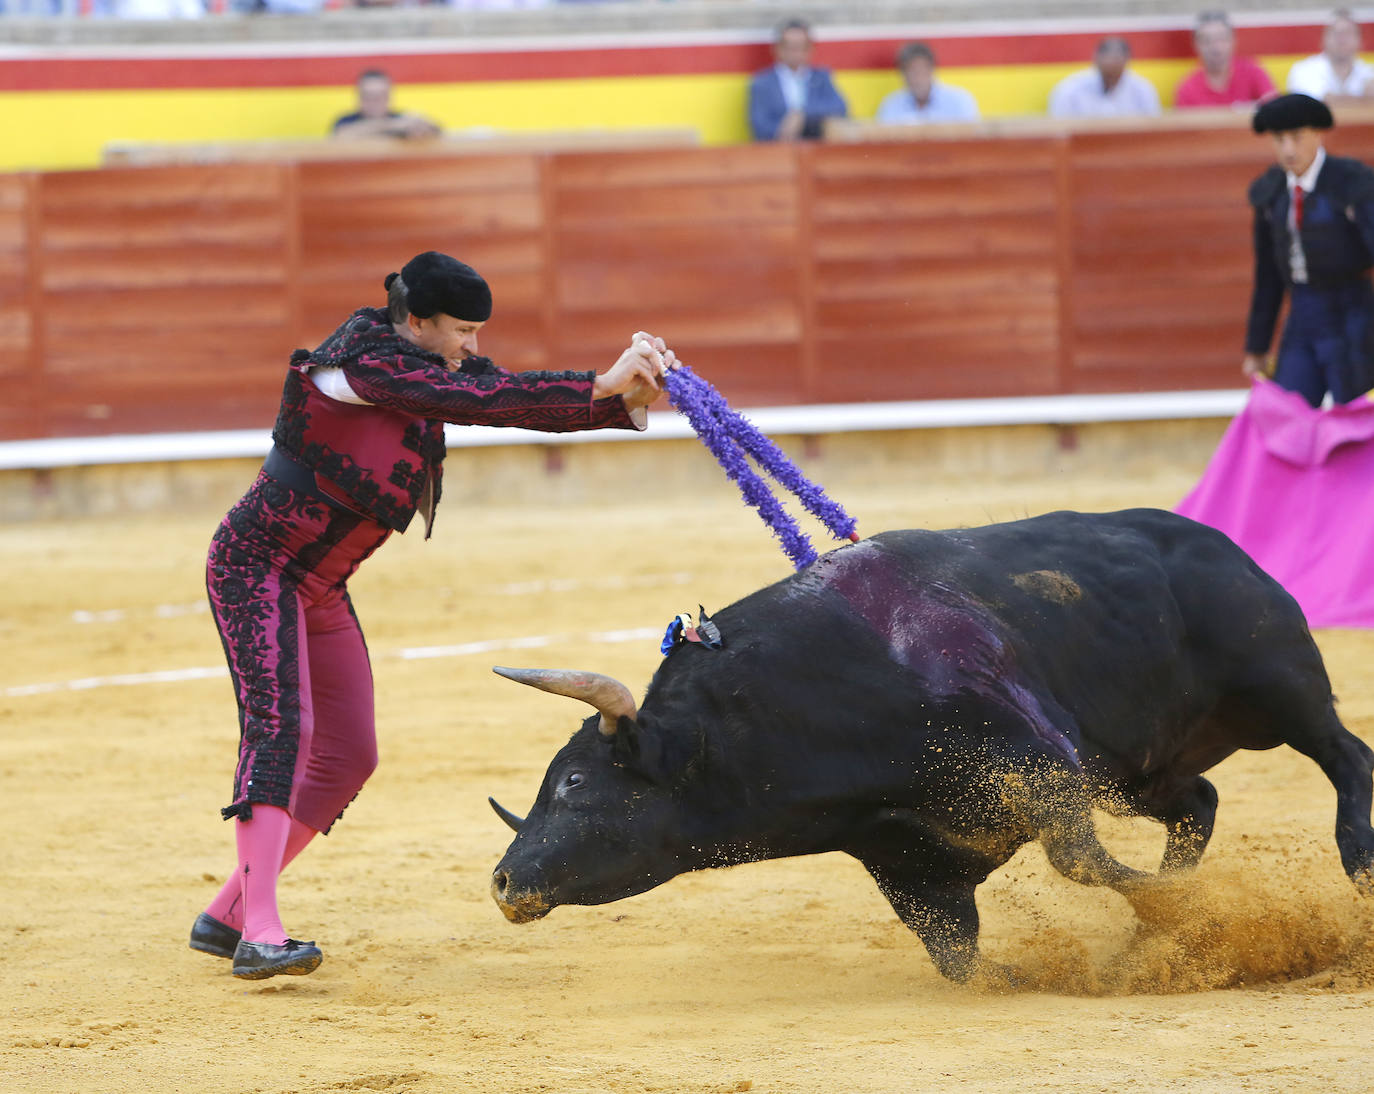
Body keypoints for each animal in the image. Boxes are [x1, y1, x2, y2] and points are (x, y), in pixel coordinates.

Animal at [489, 511, 1374, 984]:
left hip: (1281, 685)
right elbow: (958, 956)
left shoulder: (1040, 765)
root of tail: (1219, 542)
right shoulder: (908, 859)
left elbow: (1079, 861)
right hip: (1144, 767)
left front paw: (1186, 918)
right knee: (1199, 800)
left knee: (1345, 755)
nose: (502, 882)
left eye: (573, 784)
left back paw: (1358, 863)